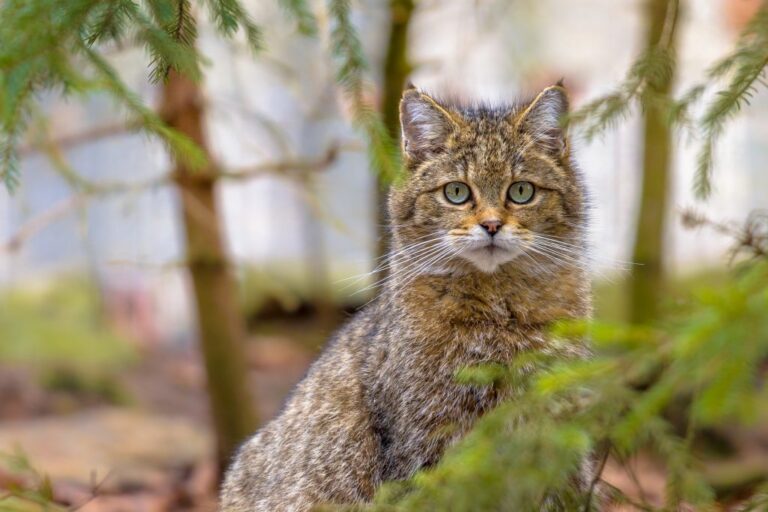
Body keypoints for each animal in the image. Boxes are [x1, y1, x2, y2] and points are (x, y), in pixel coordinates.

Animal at [219, 82, 592, 510]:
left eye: (521, 191)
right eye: (457, 192)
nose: (492, 225)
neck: (500, 312)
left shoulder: (558, 436)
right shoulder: (427, 441)